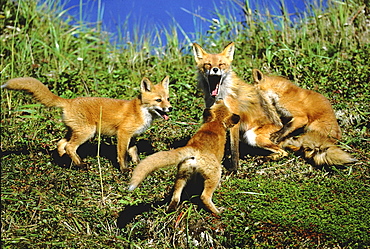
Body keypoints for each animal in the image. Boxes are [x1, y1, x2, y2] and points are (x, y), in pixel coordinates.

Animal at [1, 77, 172, 172]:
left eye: (168, 98)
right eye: (158, 100)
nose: (170, 108)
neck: (139, 110)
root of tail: (69, 101)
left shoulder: (132, 137)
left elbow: (133, 152)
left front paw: (138, 165)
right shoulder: (123, 134)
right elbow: (121, 155)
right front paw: (124, 170)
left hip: (74, 131)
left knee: (61, 144)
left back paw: (66, 162)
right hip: (87, 132)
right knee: (69, 147)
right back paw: (80, 165)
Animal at [192, 42, 288, 171]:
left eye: (221, 64)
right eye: (208, 64)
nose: (215, 69)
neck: (220, 95)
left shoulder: (235, 118)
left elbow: (234, 150)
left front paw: (234, 170)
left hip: (251, 136)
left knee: (284, 152)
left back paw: (266, 159)